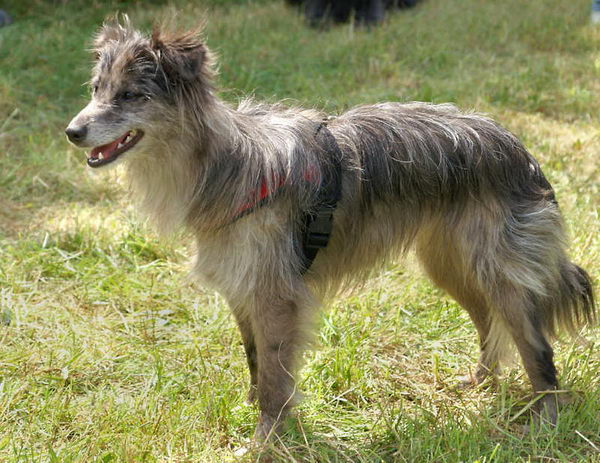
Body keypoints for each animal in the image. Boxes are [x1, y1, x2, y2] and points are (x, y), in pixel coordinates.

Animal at [67, 18, 596, 438]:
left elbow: (275, 373)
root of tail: (516, 146)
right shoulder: (245, 289)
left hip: (498, 271)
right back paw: (481, 384)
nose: (72, 132)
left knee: (535, 346)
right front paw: (255, 414)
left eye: (130, 95)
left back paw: (545, 419)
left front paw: (266, 439)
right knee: (489, 323)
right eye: (95, 89)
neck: (223, 163)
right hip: (450, 264)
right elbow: (256, 361)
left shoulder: (276, 294)